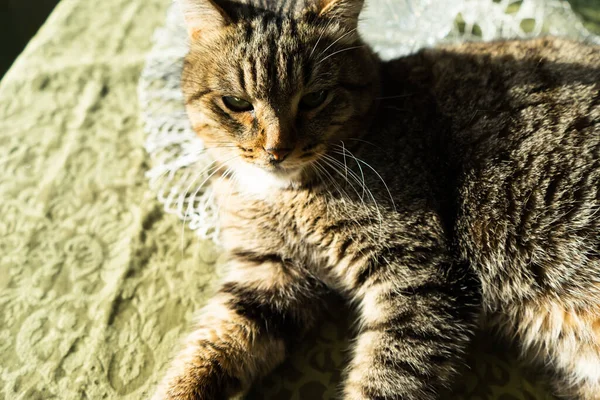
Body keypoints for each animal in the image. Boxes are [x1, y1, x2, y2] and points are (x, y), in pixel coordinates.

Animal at [152, 0, 600, 398]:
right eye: (237, 103)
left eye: (314, 98)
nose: (277, 150)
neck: (286, 194)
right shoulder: (268, 274)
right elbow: (211, 349)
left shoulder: (420, 276)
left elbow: (385, 376)